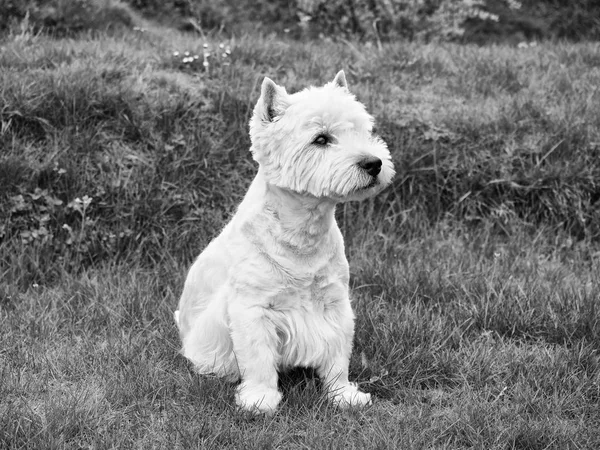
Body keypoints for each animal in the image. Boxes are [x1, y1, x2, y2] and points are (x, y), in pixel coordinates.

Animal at [175, 68, 394, 414]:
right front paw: (260, 399)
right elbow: (258, 359)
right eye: (321, 139)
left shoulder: (335, 304)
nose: (374, 163)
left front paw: (343, 395)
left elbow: (337, 355)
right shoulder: (252, 309)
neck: (302, 235)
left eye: (365, 131)